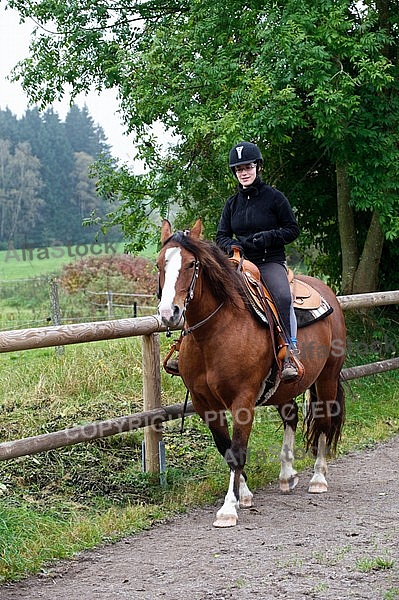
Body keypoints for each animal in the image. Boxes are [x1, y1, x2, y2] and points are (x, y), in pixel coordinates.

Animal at [158, 219, 346, 524]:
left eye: (191, 264)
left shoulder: (243, 399)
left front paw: (227, 508)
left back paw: (318, 478)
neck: (214, 333)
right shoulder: (204, 403)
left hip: (327, 377)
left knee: (323, 421)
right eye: (159, 264)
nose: (168, 313)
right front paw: (243, 495)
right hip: (284, 387)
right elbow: (225, 447)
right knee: (292, 415)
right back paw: (287, 475)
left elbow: (237, 450)